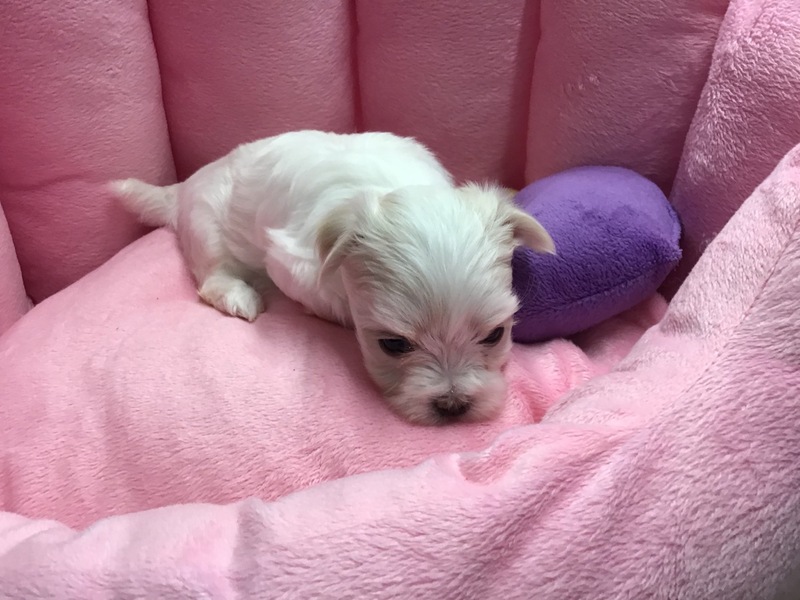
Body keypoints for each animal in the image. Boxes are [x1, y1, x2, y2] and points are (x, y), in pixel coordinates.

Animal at [110, 130, 555, 425]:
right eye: (393, 345)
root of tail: (182, 188)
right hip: (206, 226)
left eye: (494, 335)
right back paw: (239, 295)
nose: (453, 406)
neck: (395, 186)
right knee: (212, 274)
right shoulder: (288, 262)